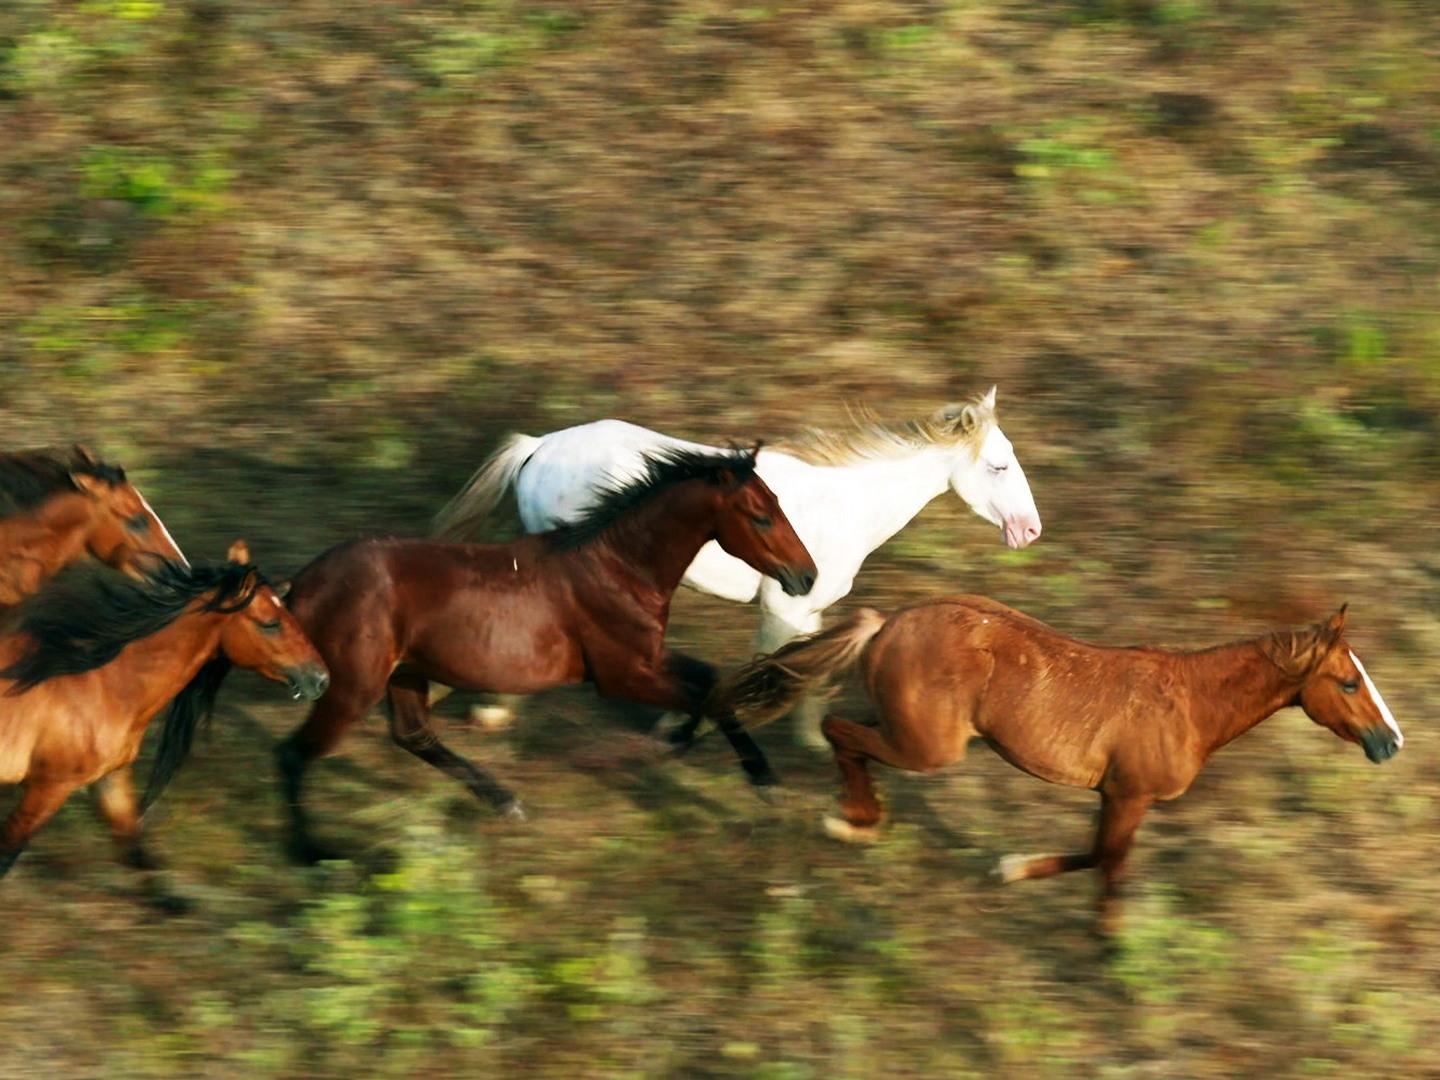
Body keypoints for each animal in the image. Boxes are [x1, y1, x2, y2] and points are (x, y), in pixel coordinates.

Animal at [0, 541, 326, 881]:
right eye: (271, 624)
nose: (321, 678)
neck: (104, 682)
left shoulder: (110, 780)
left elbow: (139, 855)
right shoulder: (48, 787)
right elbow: (6, 856)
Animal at [275, 446, 817, 864]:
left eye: (777, 503)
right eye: (761, 515)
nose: (806, 576)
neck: (618, 568)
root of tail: (300, 586)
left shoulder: (648, 659)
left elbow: (709, 679)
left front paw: (684, 740)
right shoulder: (622, 676)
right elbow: (712, 698)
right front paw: (764, 781)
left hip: (404, 673)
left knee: (414, 735)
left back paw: (506, 802)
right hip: (353, 686)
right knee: (294, 753)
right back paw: (311, 853)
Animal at [432, 391, 1042, 754]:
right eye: (998, 466)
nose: (1030, 531)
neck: (846, 505)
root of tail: (540, 447)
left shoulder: (807, 605)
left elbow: (806, 671)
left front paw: (815, 742)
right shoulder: (781, 605)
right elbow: (763, 668)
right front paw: (689, 727)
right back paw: (494, 709)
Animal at [717, 596, 1405, 933]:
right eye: (1348, 683)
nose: (1391, 742)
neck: (1189, 705)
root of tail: (888, 624)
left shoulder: (1112, 796)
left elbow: (1102, 855)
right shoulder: (1128, 795)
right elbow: (1106, 859)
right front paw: (1097, 931)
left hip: (906, 728)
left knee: (845, 730)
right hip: (929, 748)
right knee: (839, 731)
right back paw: (852, 822)